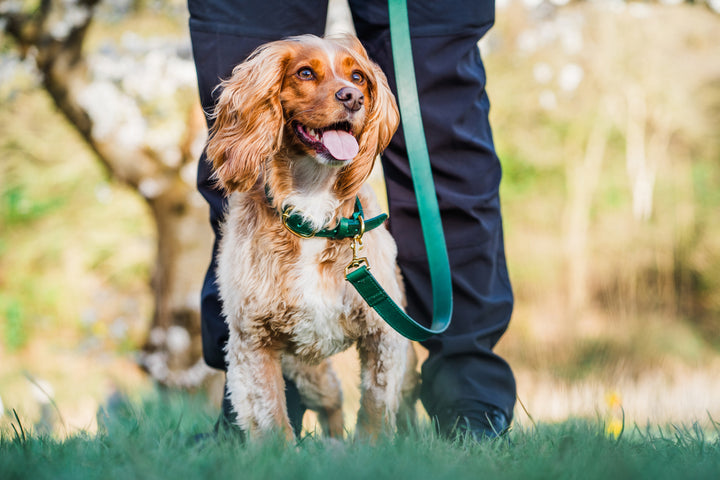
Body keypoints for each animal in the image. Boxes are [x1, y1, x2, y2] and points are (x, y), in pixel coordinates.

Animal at [205, 34, 420, 442]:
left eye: (358, 76)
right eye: (305, 73)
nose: (353, 97)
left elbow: (374, 414)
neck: (314, 210)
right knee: (330, 403)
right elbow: (272, 423)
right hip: (305, 368)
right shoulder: (253, 342)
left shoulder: (384, 335)